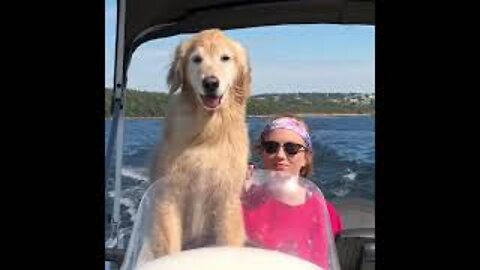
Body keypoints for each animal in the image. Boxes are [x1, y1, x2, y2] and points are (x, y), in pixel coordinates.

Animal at [149, 29, 251, 258]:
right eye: (196, 59)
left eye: (225, 58)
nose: (211, 83)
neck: (207, 132)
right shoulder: (169, 196)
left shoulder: (226, 199)